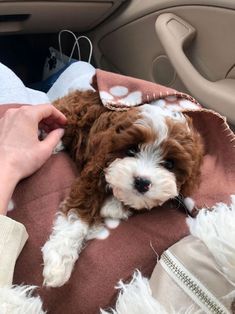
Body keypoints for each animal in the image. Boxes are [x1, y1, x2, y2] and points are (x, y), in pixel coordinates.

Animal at [41, 90, 203, 288]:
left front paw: (114, 206)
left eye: (170, 164)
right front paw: (58, 260)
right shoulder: (95, 168)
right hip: (69, 116)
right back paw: (53, 142)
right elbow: (77, 213)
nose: (142, 182)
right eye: (131, 150)